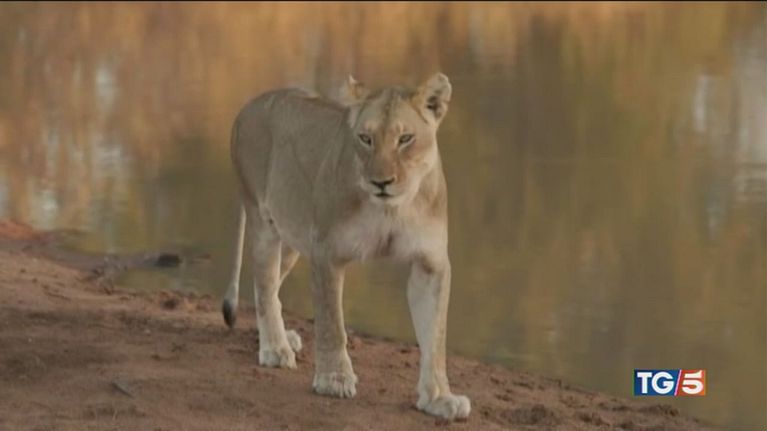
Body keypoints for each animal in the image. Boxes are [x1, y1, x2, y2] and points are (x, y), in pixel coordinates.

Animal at [221, 73, 470, 420]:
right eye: (365, 139)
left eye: (405, 138)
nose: (382, 182)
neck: (392, 208)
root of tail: (248, 106)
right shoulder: (327, 251)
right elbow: (332, 323)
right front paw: (334, 379)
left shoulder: (430, 264)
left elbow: (435, 336)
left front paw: (439, 398)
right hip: (262, 222)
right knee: (264, 285)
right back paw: (274, 347)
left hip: (295, 236)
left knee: (269, 287)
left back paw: (282, 337)